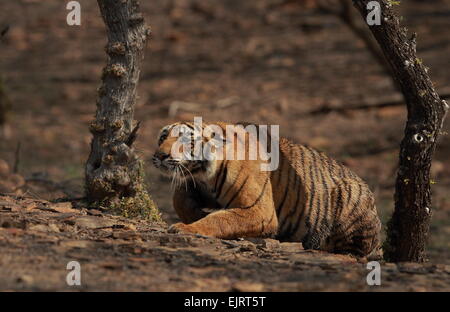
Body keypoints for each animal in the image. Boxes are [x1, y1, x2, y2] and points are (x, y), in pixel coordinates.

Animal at [153, 120, 382, 258]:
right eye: (163, 137)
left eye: (184, 139)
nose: (160, 156)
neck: (203, 174)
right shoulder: (196, 185)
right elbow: (179, 200)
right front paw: (196, 215)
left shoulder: (260, 211)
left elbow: (222, 219)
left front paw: (186, 227)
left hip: (352, 196)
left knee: (353, 251)